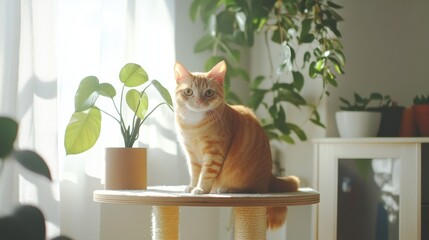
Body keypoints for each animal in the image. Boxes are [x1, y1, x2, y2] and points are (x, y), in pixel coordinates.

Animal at [172, 60, 300, 229]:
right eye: (188, 92)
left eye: (208, 93)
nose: (198, 101)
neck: (193, 124)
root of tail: (269, 177)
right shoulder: (191, 154)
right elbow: (194, 173)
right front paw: (192, 186)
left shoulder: (214, 153)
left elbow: (206, 174)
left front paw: (201, 189)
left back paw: (224, 189)